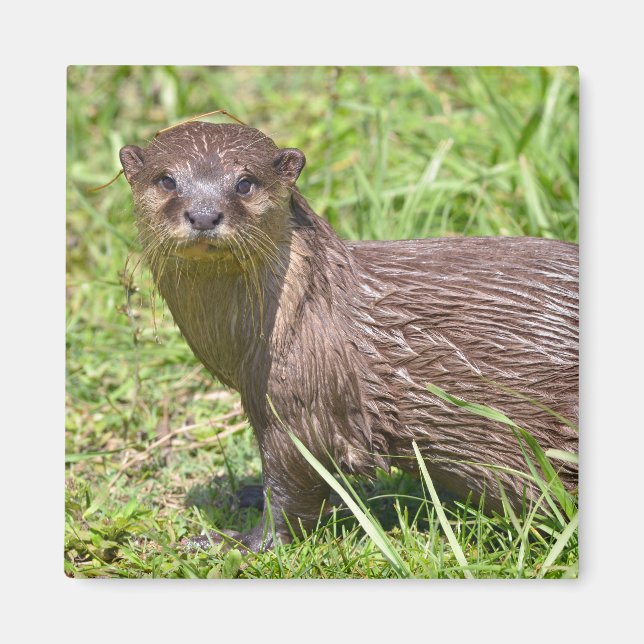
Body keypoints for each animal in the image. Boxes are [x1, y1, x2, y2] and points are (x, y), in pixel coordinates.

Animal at [119, 122, 578, 551]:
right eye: (166, 180)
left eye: (244, 182)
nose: (203, 214)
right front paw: (244, 494)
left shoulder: (306, 401)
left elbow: (295, 487)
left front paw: (235, 542)